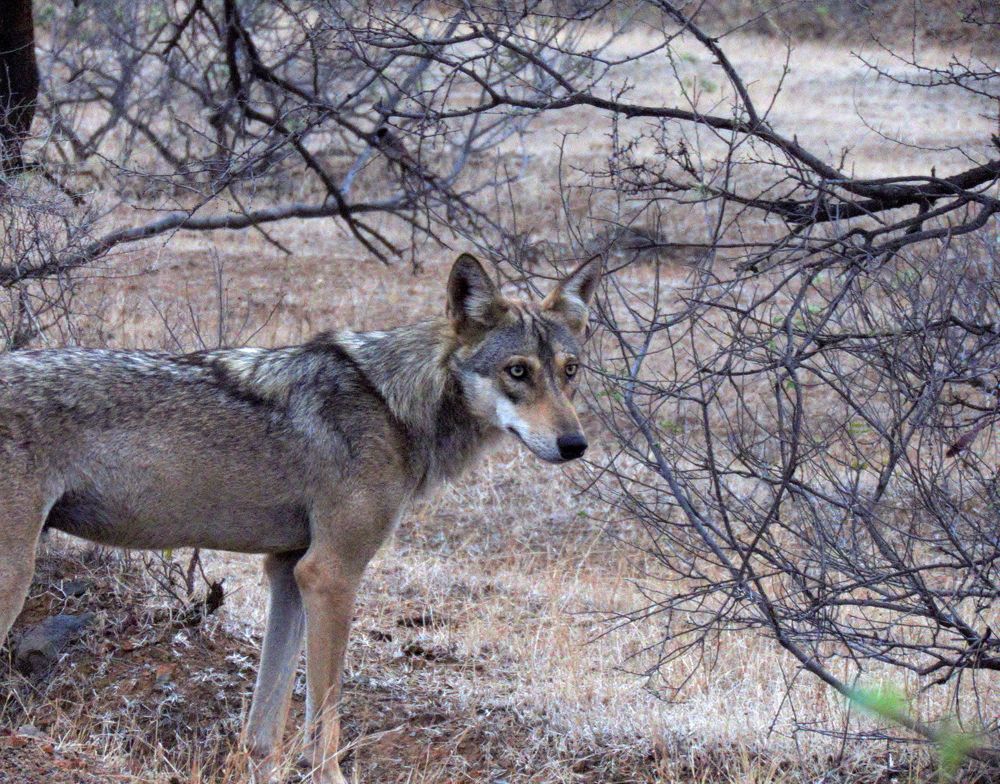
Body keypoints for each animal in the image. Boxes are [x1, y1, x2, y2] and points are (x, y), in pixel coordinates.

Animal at [0, 253, 601, 783]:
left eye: (570, 372)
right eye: (517, 371)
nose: (575, 445)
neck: (395, 408)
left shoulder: (287, 571)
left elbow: (263, 732)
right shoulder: (330, 574)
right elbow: (323, 727)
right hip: (15, 575)